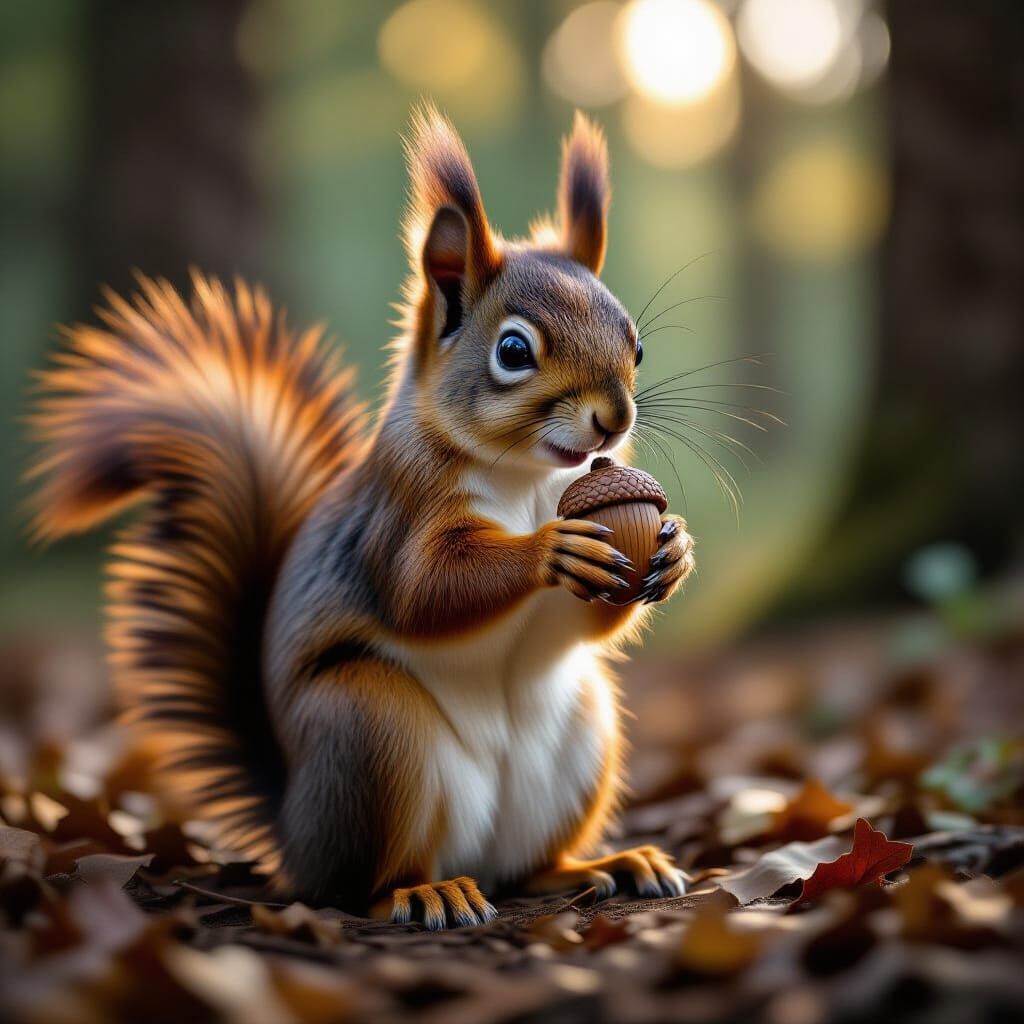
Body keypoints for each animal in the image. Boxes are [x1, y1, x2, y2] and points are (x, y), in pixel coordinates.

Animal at [27, 106, 696, 929]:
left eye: (637, 343)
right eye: (513, 350)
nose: (614, 419)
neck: (535, 478)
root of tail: (294, 834)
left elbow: (585, 620)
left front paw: (673, 549)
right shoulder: (396, 516)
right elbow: (425, 589)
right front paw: (549, 552)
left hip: (582, 735)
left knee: (528, 868)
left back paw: (607, 863)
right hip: (370, 729)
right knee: (356, 888)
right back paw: (424, 891)